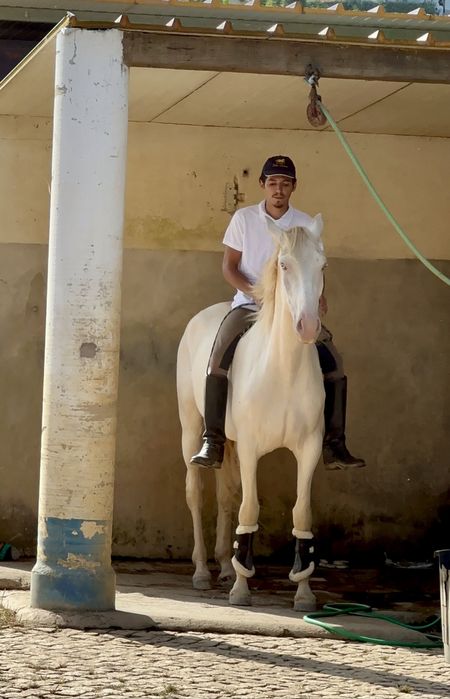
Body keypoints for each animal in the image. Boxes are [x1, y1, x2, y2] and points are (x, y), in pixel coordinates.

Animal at [176, 214, 327, 611]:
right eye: (284, 265)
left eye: (322, 265)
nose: (308, 326)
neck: (283, 370)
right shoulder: (249, 448)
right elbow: (250, 508)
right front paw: (242, 590)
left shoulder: (309, 448)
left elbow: (302, 512)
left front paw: (303, 592)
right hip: (191, 428)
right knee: (196, 493)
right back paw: (202, 571)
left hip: (226, 442)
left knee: (225, 494)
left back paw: (226, 566)